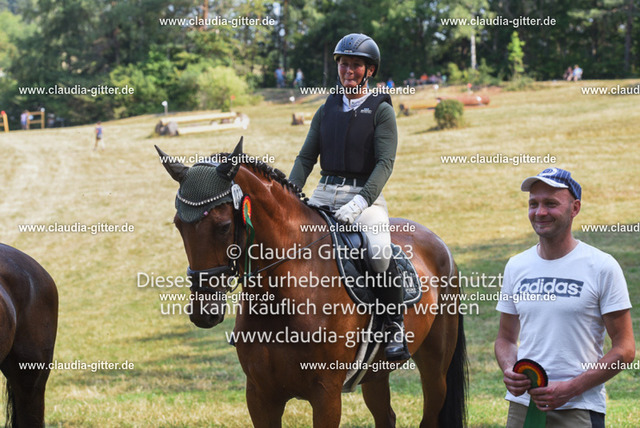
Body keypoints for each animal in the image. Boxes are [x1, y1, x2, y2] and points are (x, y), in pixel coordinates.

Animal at [156, 139, 467, 427]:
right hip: (374, 374)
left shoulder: (326, 395)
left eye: (222, 226)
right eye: (178, 224)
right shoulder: (260, 395)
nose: (203, 313)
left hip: (435, 367)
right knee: (385, 416)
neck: (281, 300)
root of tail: (436, 241)